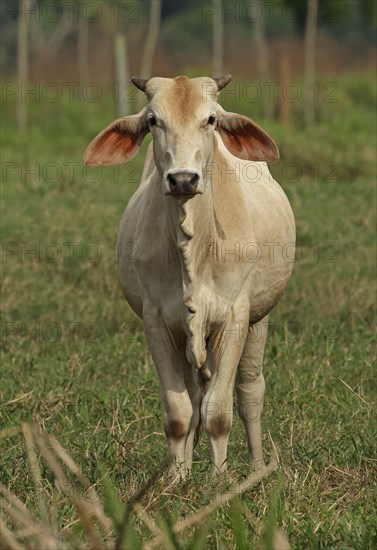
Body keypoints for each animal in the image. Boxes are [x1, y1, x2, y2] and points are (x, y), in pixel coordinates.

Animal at [83, 75, 296, 480]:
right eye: (153, 121)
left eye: (210, 119)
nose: (182, 179)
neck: (195, 248)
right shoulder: (157, 322)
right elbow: (179, 412)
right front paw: (176, 479)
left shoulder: (235, 317)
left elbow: (219, 412)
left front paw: (220, 479)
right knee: (195, 394)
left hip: (260, 319)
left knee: (249, 391)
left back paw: (257, 466)